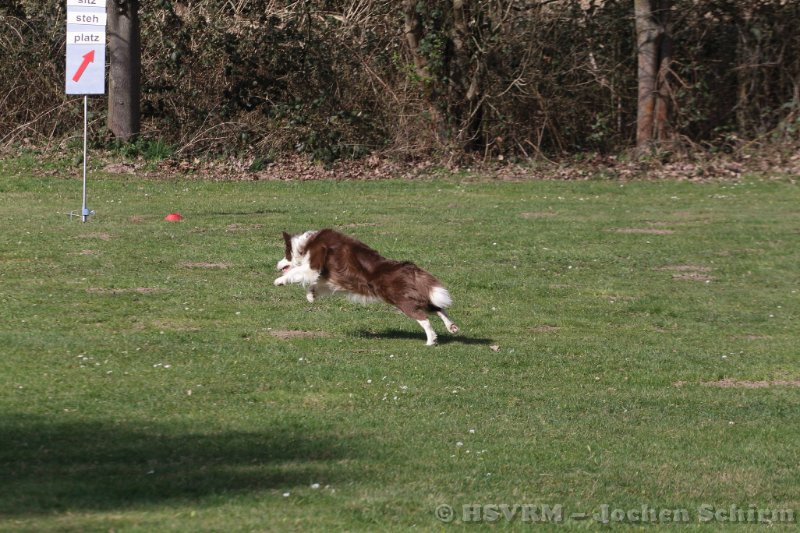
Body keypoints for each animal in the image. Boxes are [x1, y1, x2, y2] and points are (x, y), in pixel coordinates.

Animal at [274, 229, 458, 345]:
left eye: (285, 254)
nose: (277, 265)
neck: (306, 245)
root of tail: (409, 268)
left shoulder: (314, 264)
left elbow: (298, 271)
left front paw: (280, 281)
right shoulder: (332, 278)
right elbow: (316, 283)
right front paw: (311, 295)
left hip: (402, 300)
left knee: (424, 318)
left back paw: (431, 340)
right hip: (412, 296)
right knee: (437, 307)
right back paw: (451, 327)